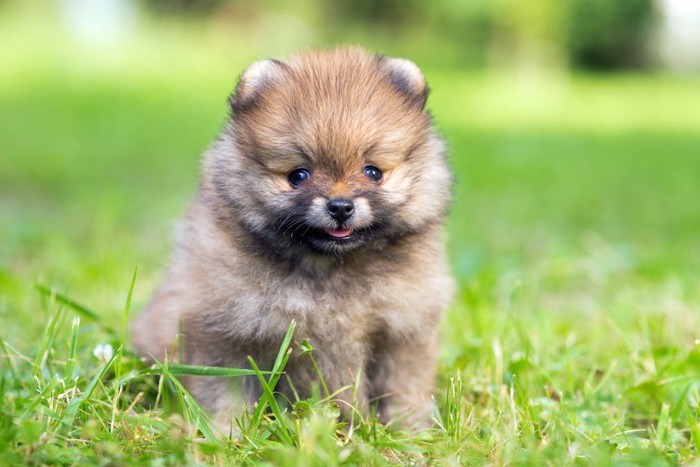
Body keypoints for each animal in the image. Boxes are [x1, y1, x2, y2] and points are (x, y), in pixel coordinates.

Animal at [133, 46, 454, 432]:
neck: (330, 269)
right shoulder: (225, 328)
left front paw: (411, 430)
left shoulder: (403, 329)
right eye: (298, 175)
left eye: (373, 172)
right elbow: (225, 388)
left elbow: (403, 386)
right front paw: (226, 432)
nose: (340, 206)